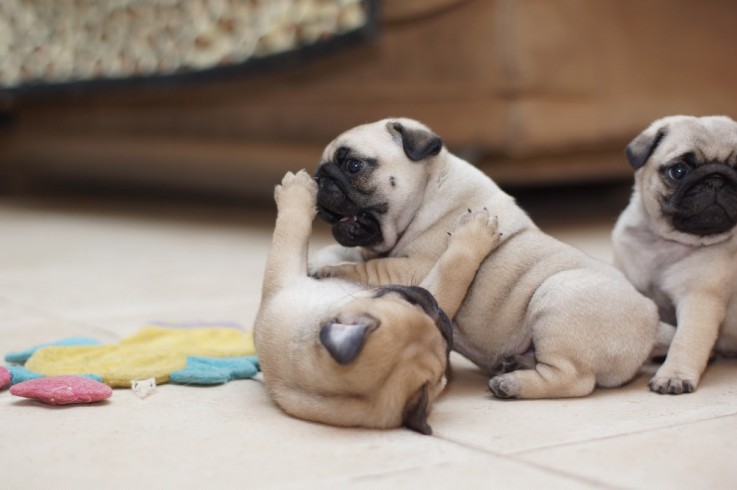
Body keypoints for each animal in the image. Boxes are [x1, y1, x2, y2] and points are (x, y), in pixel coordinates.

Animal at [608, 115, 736, 394]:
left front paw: (673, 375)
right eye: (678, 171)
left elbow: (685, 341)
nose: (716, 179)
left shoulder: (699, 300)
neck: (668, 243)